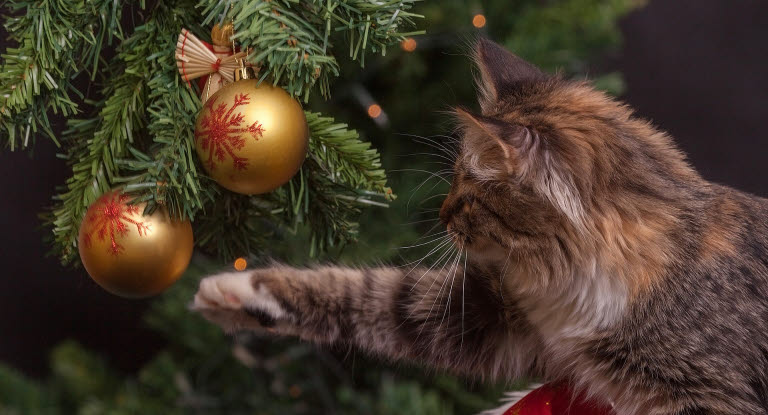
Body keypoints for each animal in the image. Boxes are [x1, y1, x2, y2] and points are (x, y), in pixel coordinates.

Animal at [190, 38, 768, 412]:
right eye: (453, 181)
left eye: (468, 194)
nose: (442, 216)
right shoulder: (493, 317)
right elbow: (365, 292)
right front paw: (237, 291)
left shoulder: (712, 395)